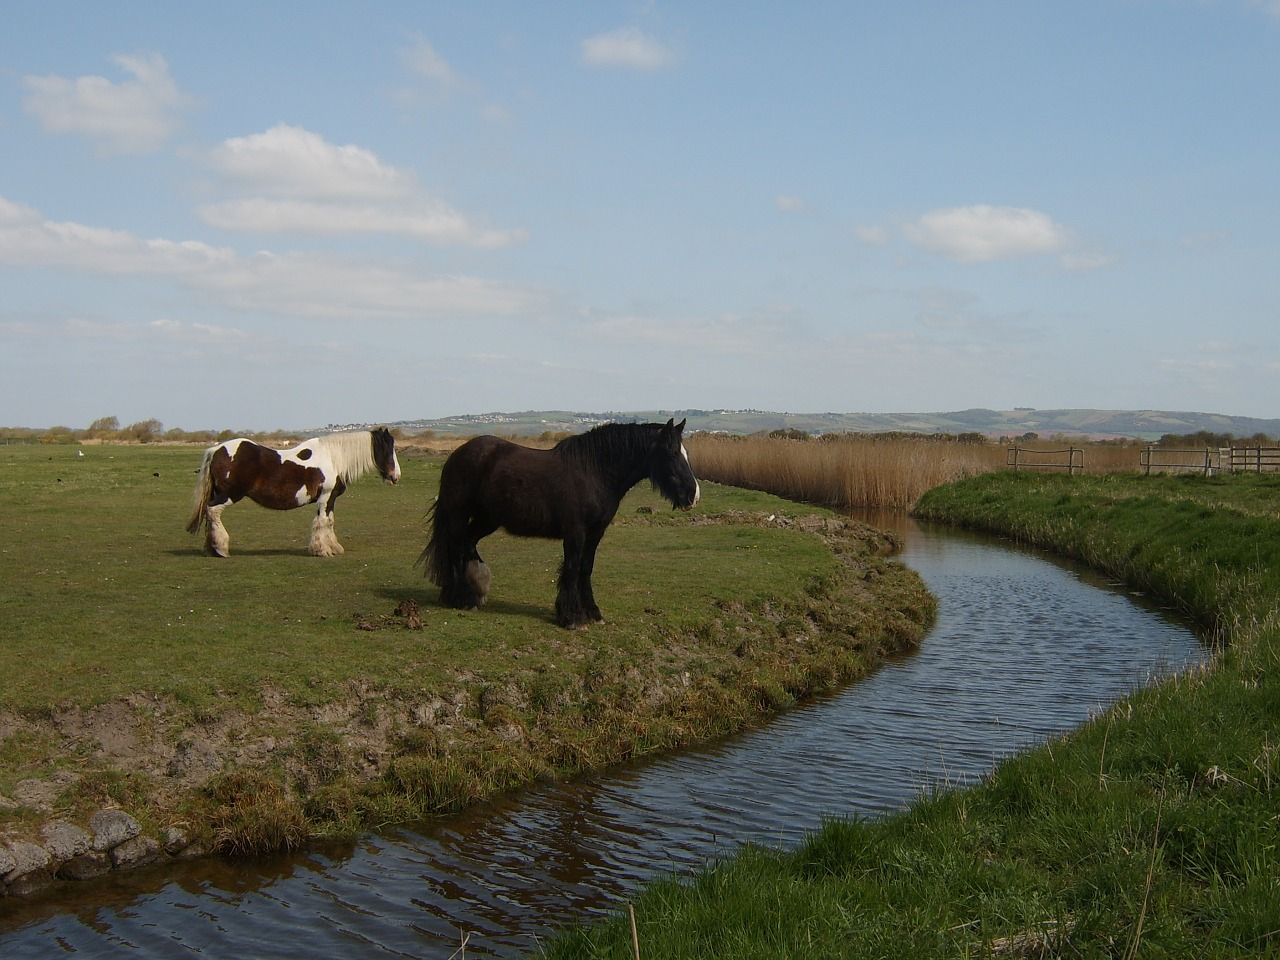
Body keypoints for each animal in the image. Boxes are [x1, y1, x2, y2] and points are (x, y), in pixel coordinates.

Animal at [185, 427, 399, 555]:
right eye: (388, 449)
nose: (396, 476)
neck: (332, 458)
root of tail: (216, 449)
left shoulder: (330, 499)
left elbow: (329, 521)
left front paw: (333, 547)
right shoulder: (325, 497)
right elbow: (322, 522)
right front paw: (321, 549)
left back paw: (212, 548)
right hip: (230, 494)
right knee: (213, 511)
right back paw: (221, 548)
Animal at [419, 419, 701, 632]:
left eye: (686, 454)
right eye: (671, 453)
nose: (693, 495)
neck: (594, 472)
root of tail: (458, 454)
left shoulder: (595, 533)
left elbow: (586, 569)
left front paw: (592, 612)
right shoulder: (575, 532)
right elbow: (572, 569)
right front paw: (572, 617)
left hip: (488, 519)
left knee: (469, 543)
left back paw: (475, 591)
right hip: (459, 514)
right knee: (456, 549)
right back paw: (460, 598)